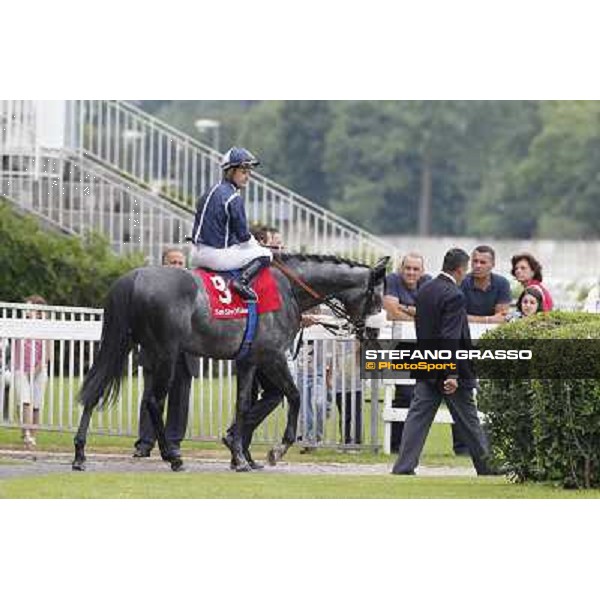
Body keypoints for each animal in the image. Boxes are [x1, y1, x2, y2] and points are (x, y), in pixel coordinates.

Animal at [72, 253, 390, 474]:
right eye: (376, 296)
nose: (373, 335)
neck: (288, 287)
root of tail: (134, 276)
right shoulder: (272, 356)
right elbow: (295, 396)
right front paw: (276, 450)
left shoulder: (248, 361)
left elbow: (243, 405)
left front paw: (239, 457)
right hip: (165, 354)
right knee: (152, 400)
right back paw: (173, 457)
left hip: (123, 344)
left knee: (95, 390)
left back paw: (80, 454)